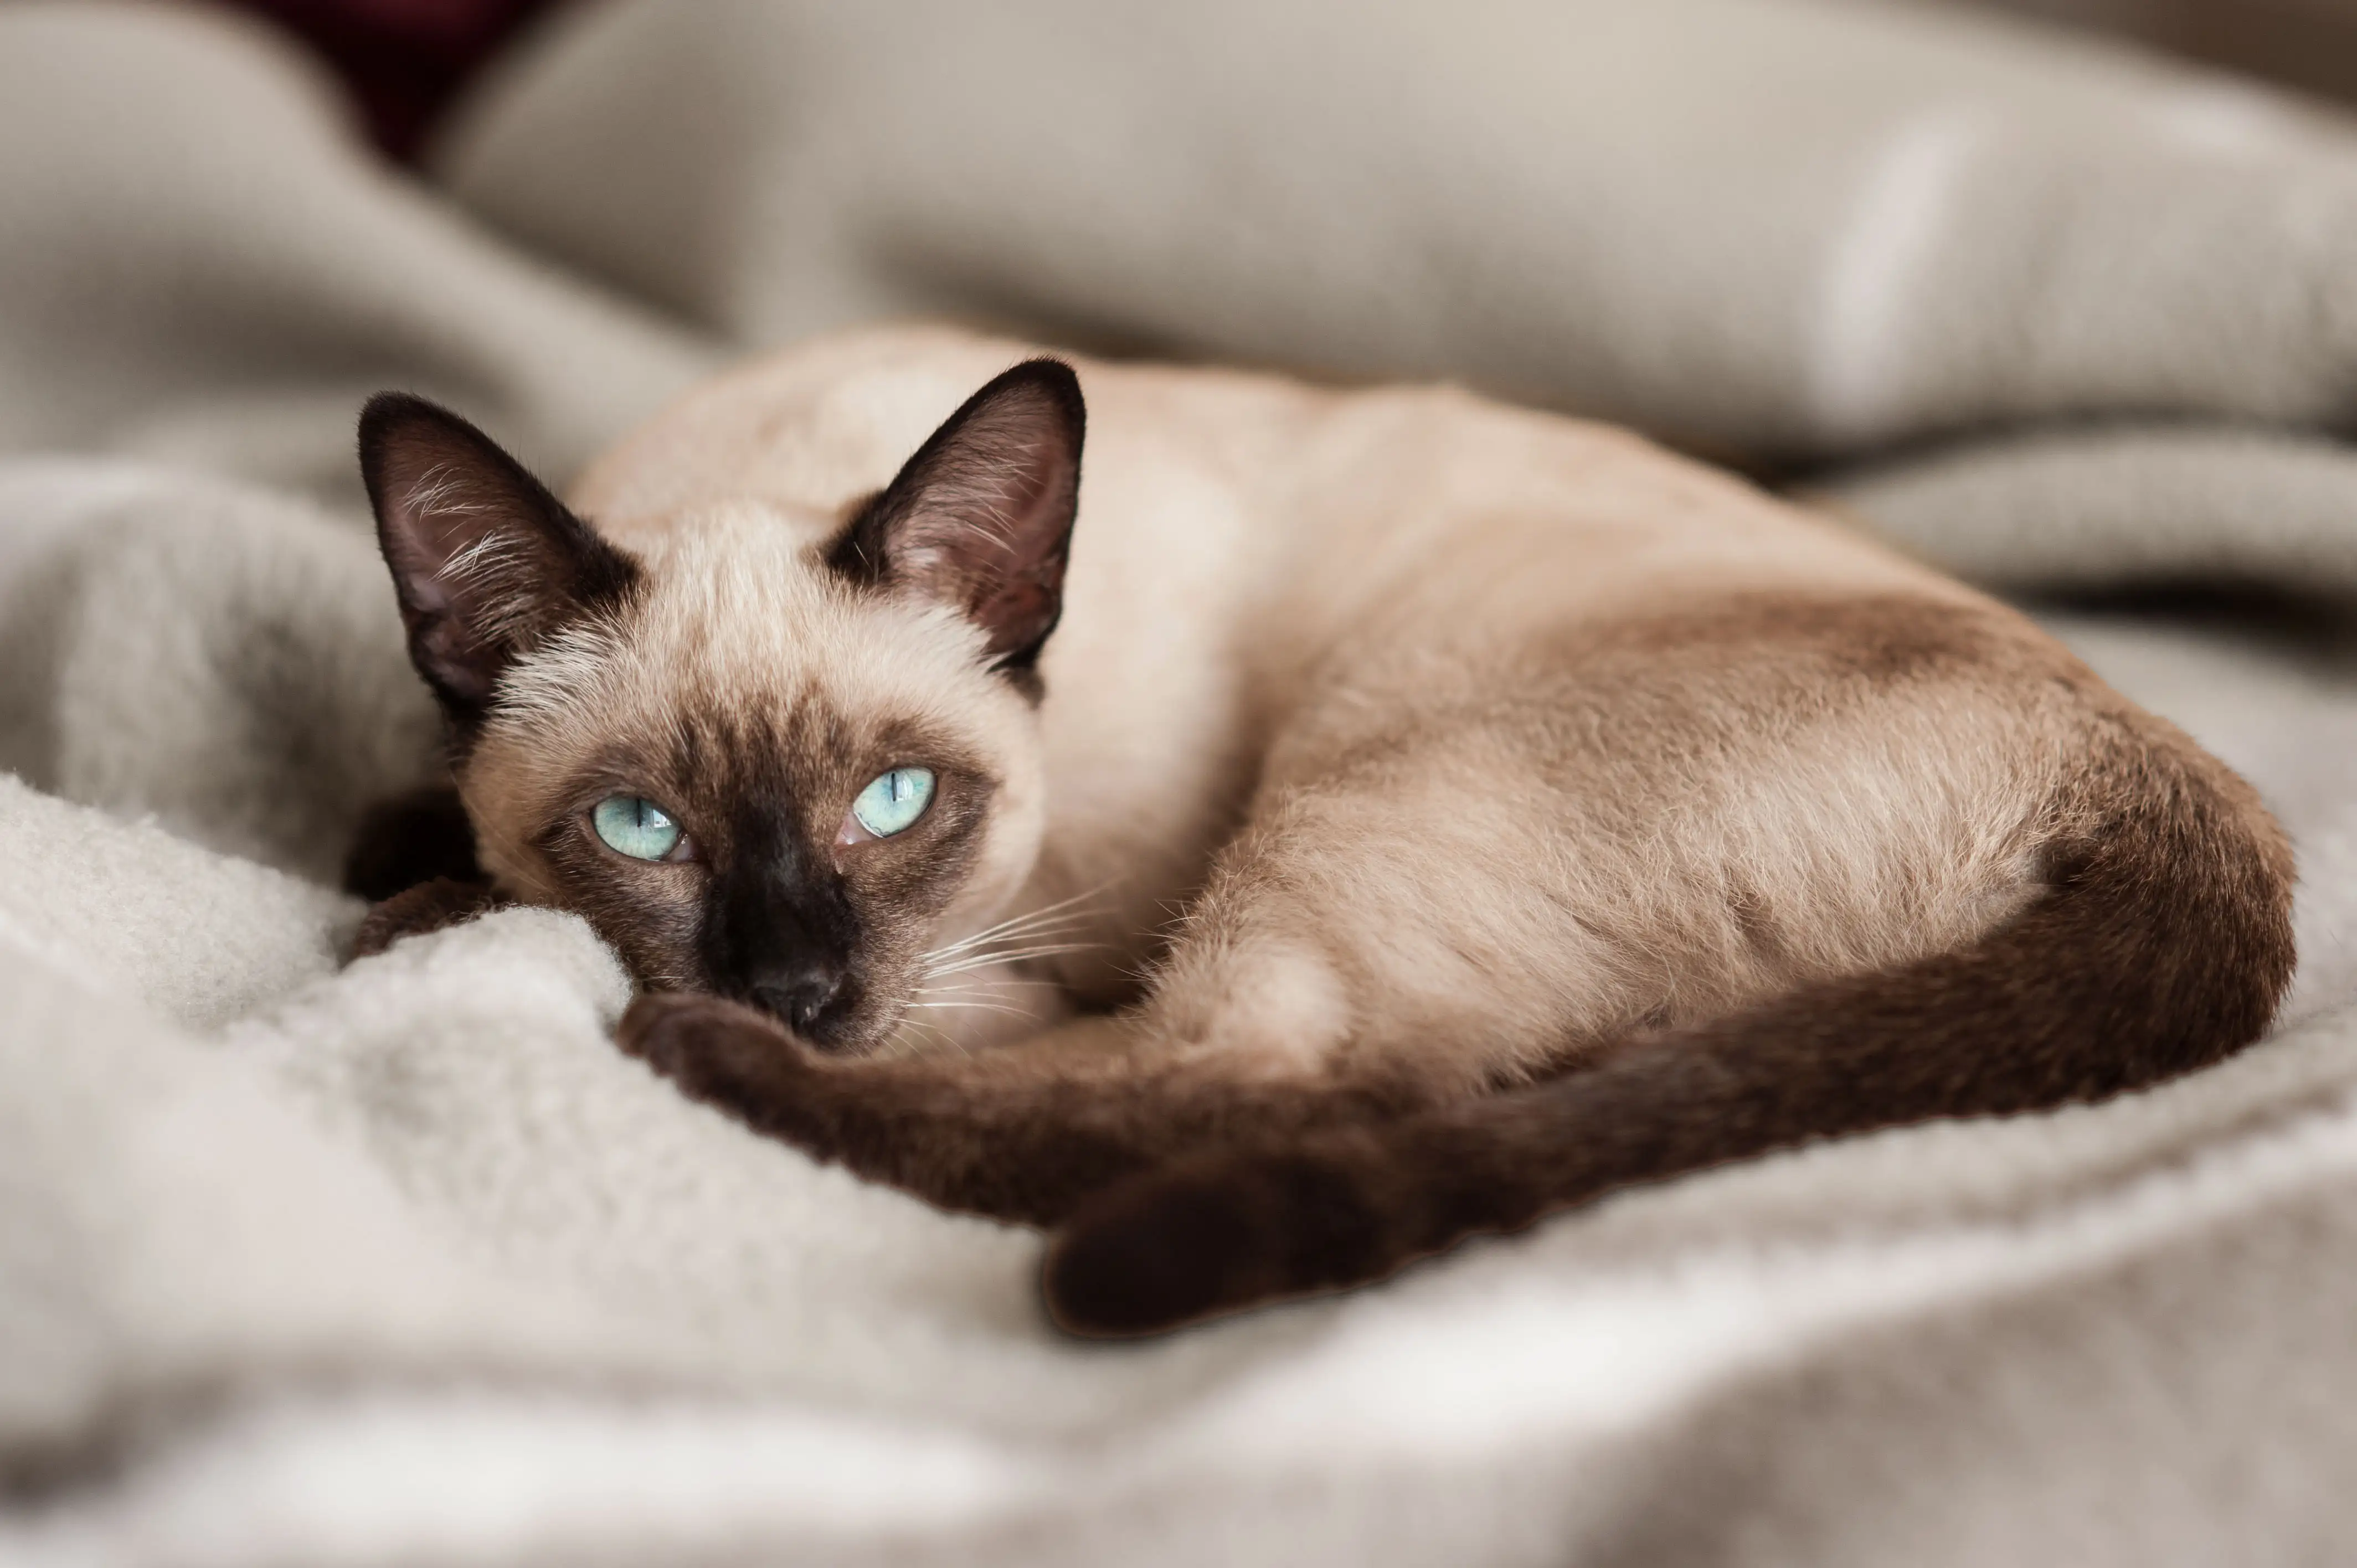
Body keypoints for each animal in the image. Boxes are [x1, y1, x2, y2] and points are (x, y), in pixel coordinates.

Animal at [342, 327, 2291, 1329]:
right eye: (640, 825)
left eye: (893, 802)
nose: (797, 987)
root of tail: (2163, 768)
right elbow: (409, 811)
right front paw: (401, 848)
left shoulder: (1023, 948)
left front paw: (430, 914)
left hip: (1374, 763)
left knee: (1291, 1082)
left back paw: (706, 1058)